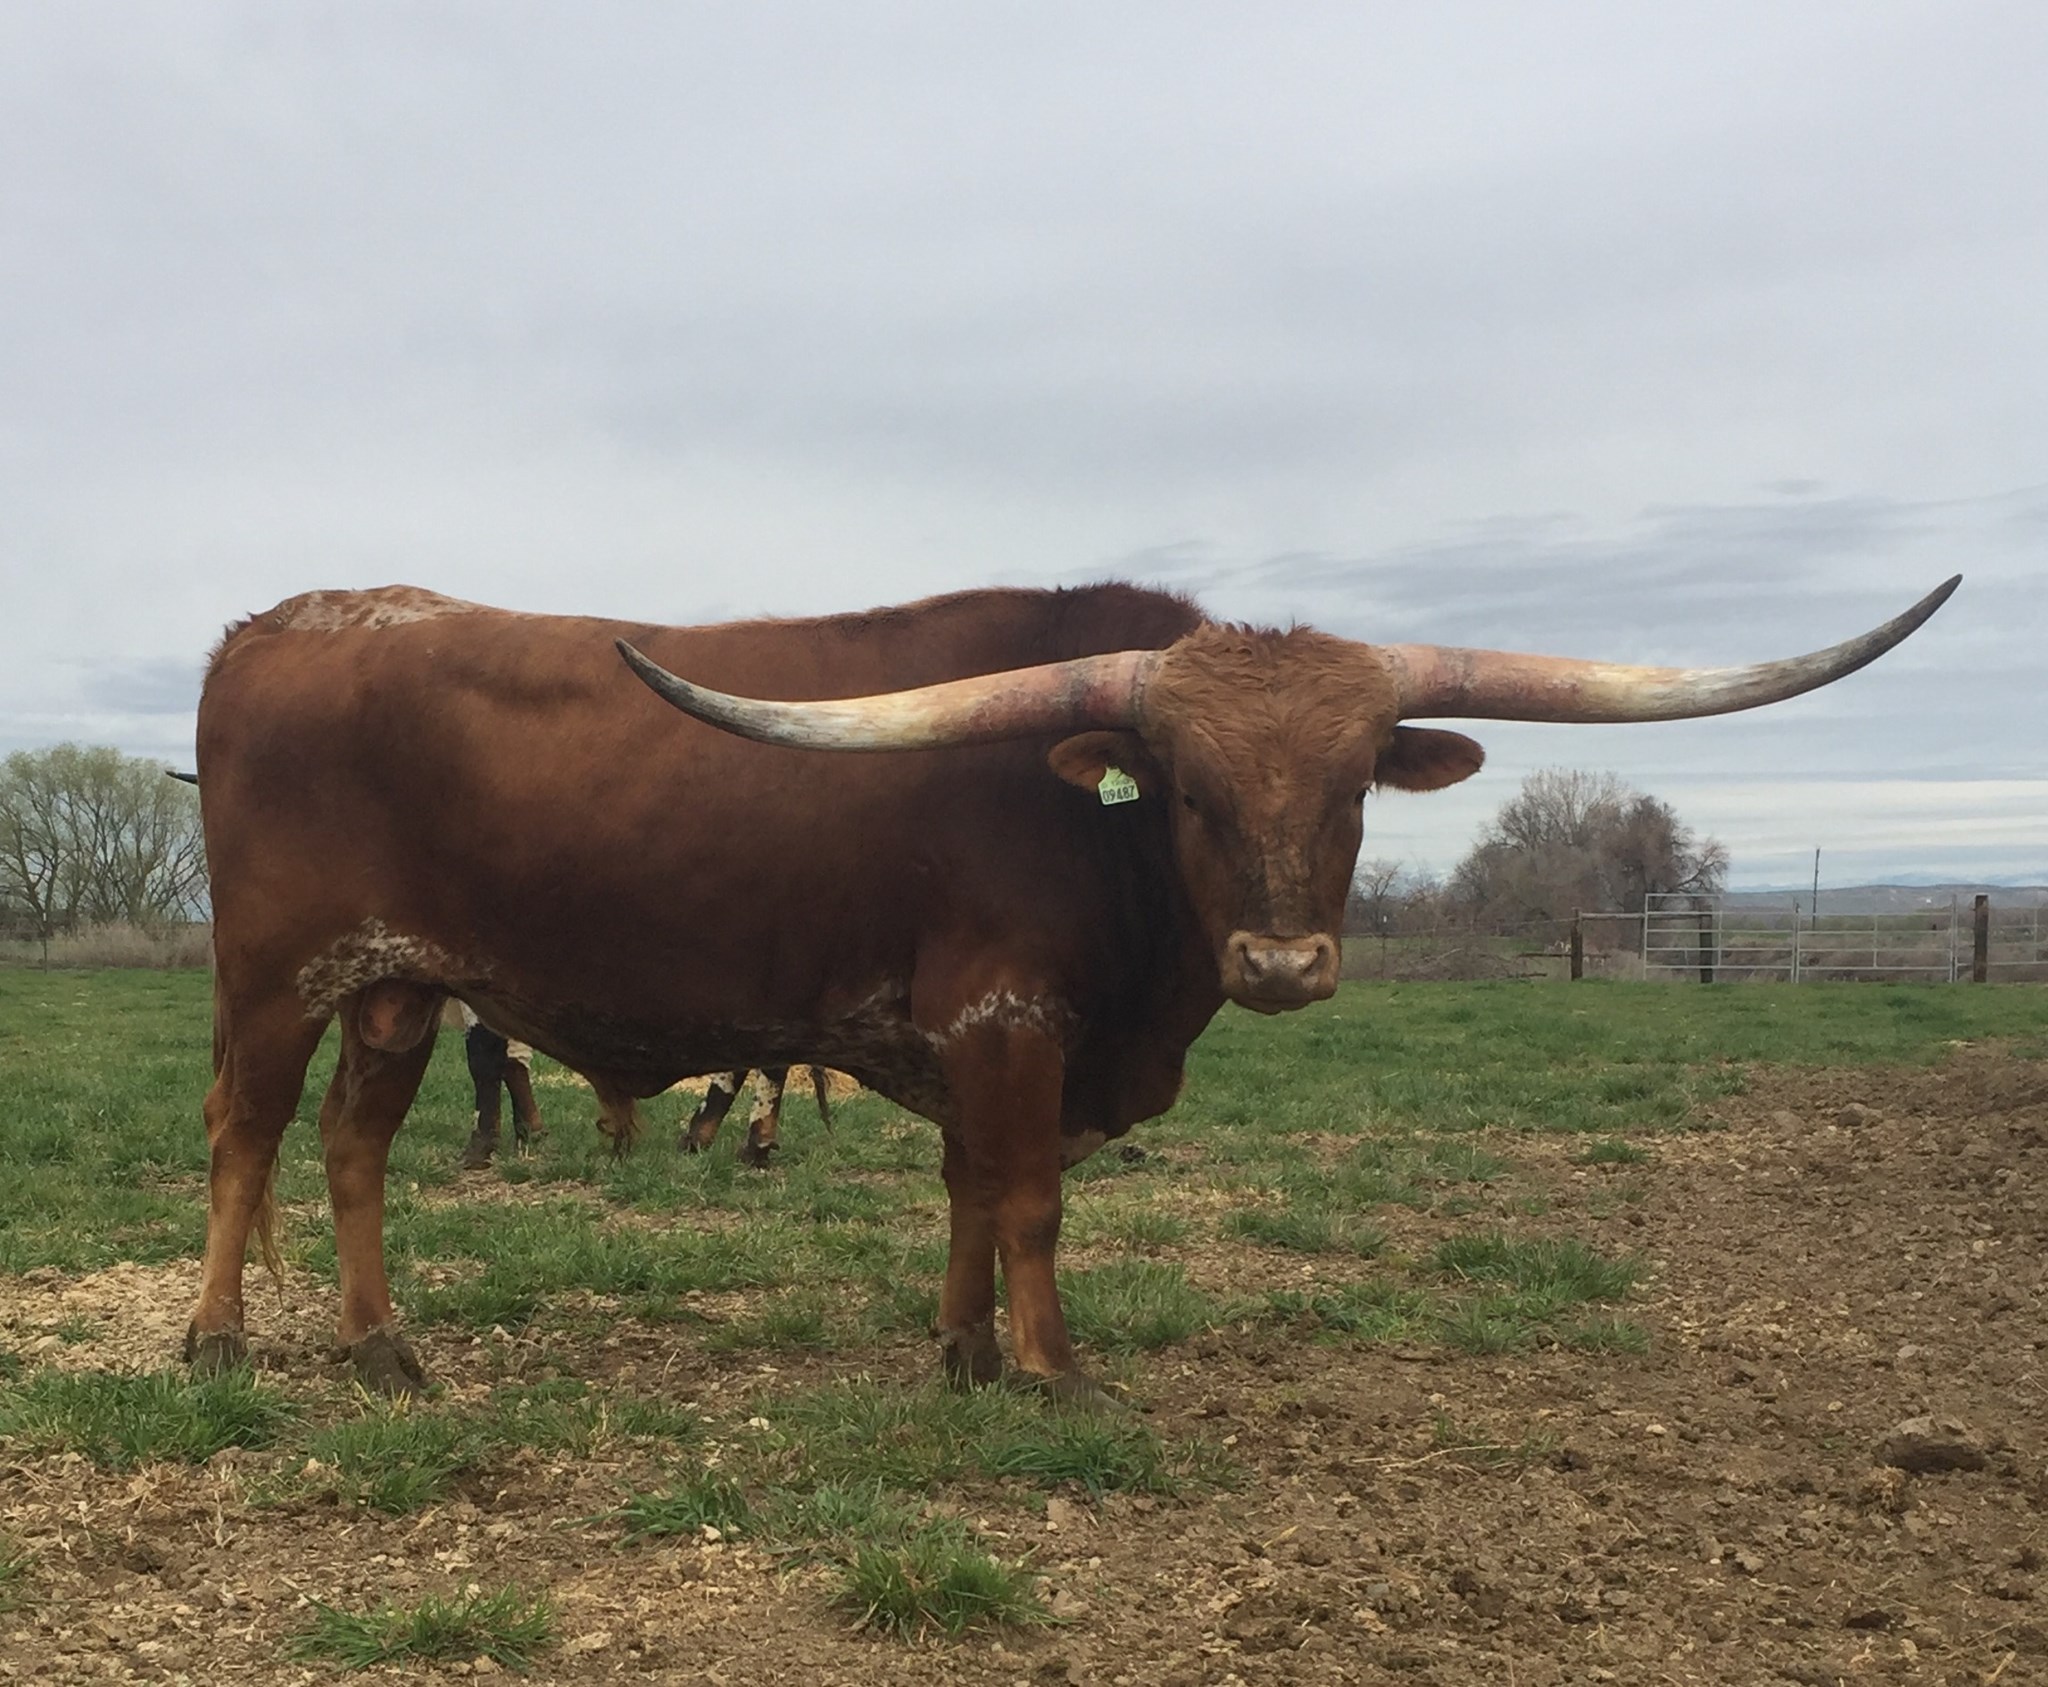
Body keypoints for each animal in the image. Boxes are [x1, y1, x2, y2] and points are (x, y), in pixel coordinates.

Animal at [181, 576, 1956, 1401]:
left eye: (1352, 787)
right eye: (1185, 790)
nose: (1283, 961)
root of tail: (272, 626)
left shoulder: (979, 1040)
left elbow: (973, 1191)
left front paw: (965, 1348)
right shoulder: (1011, 1020)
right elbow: (1030, 1194)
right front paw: (1050, 1365)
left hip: (403, 987)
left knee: (352, 1144)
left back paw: (384, 1348)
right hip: (274, 974)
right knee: (246, 1136)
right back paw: (217, 1340)